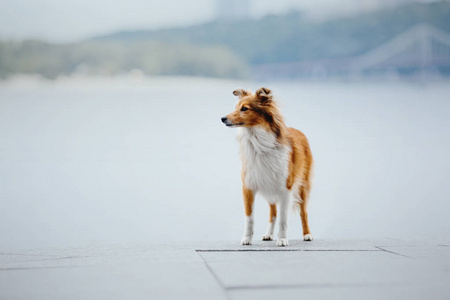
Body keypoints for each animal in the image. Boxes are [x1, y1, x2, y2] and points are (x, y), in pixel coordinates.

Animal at [221, 86, 312, 246]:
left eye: (244, 108)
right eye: (235, 107)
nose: (222, 118)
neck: (259, 143)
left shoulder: (285, 189)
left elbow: (283, 218)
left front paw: (282, 240)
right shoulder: (248, 187)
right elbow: (249, 218)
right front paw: (247, 239)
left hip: (302, 186)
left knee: (303, 212)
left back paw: (307, 234)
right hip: (269, 187)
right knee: (273, 212)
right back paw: (268, 234)